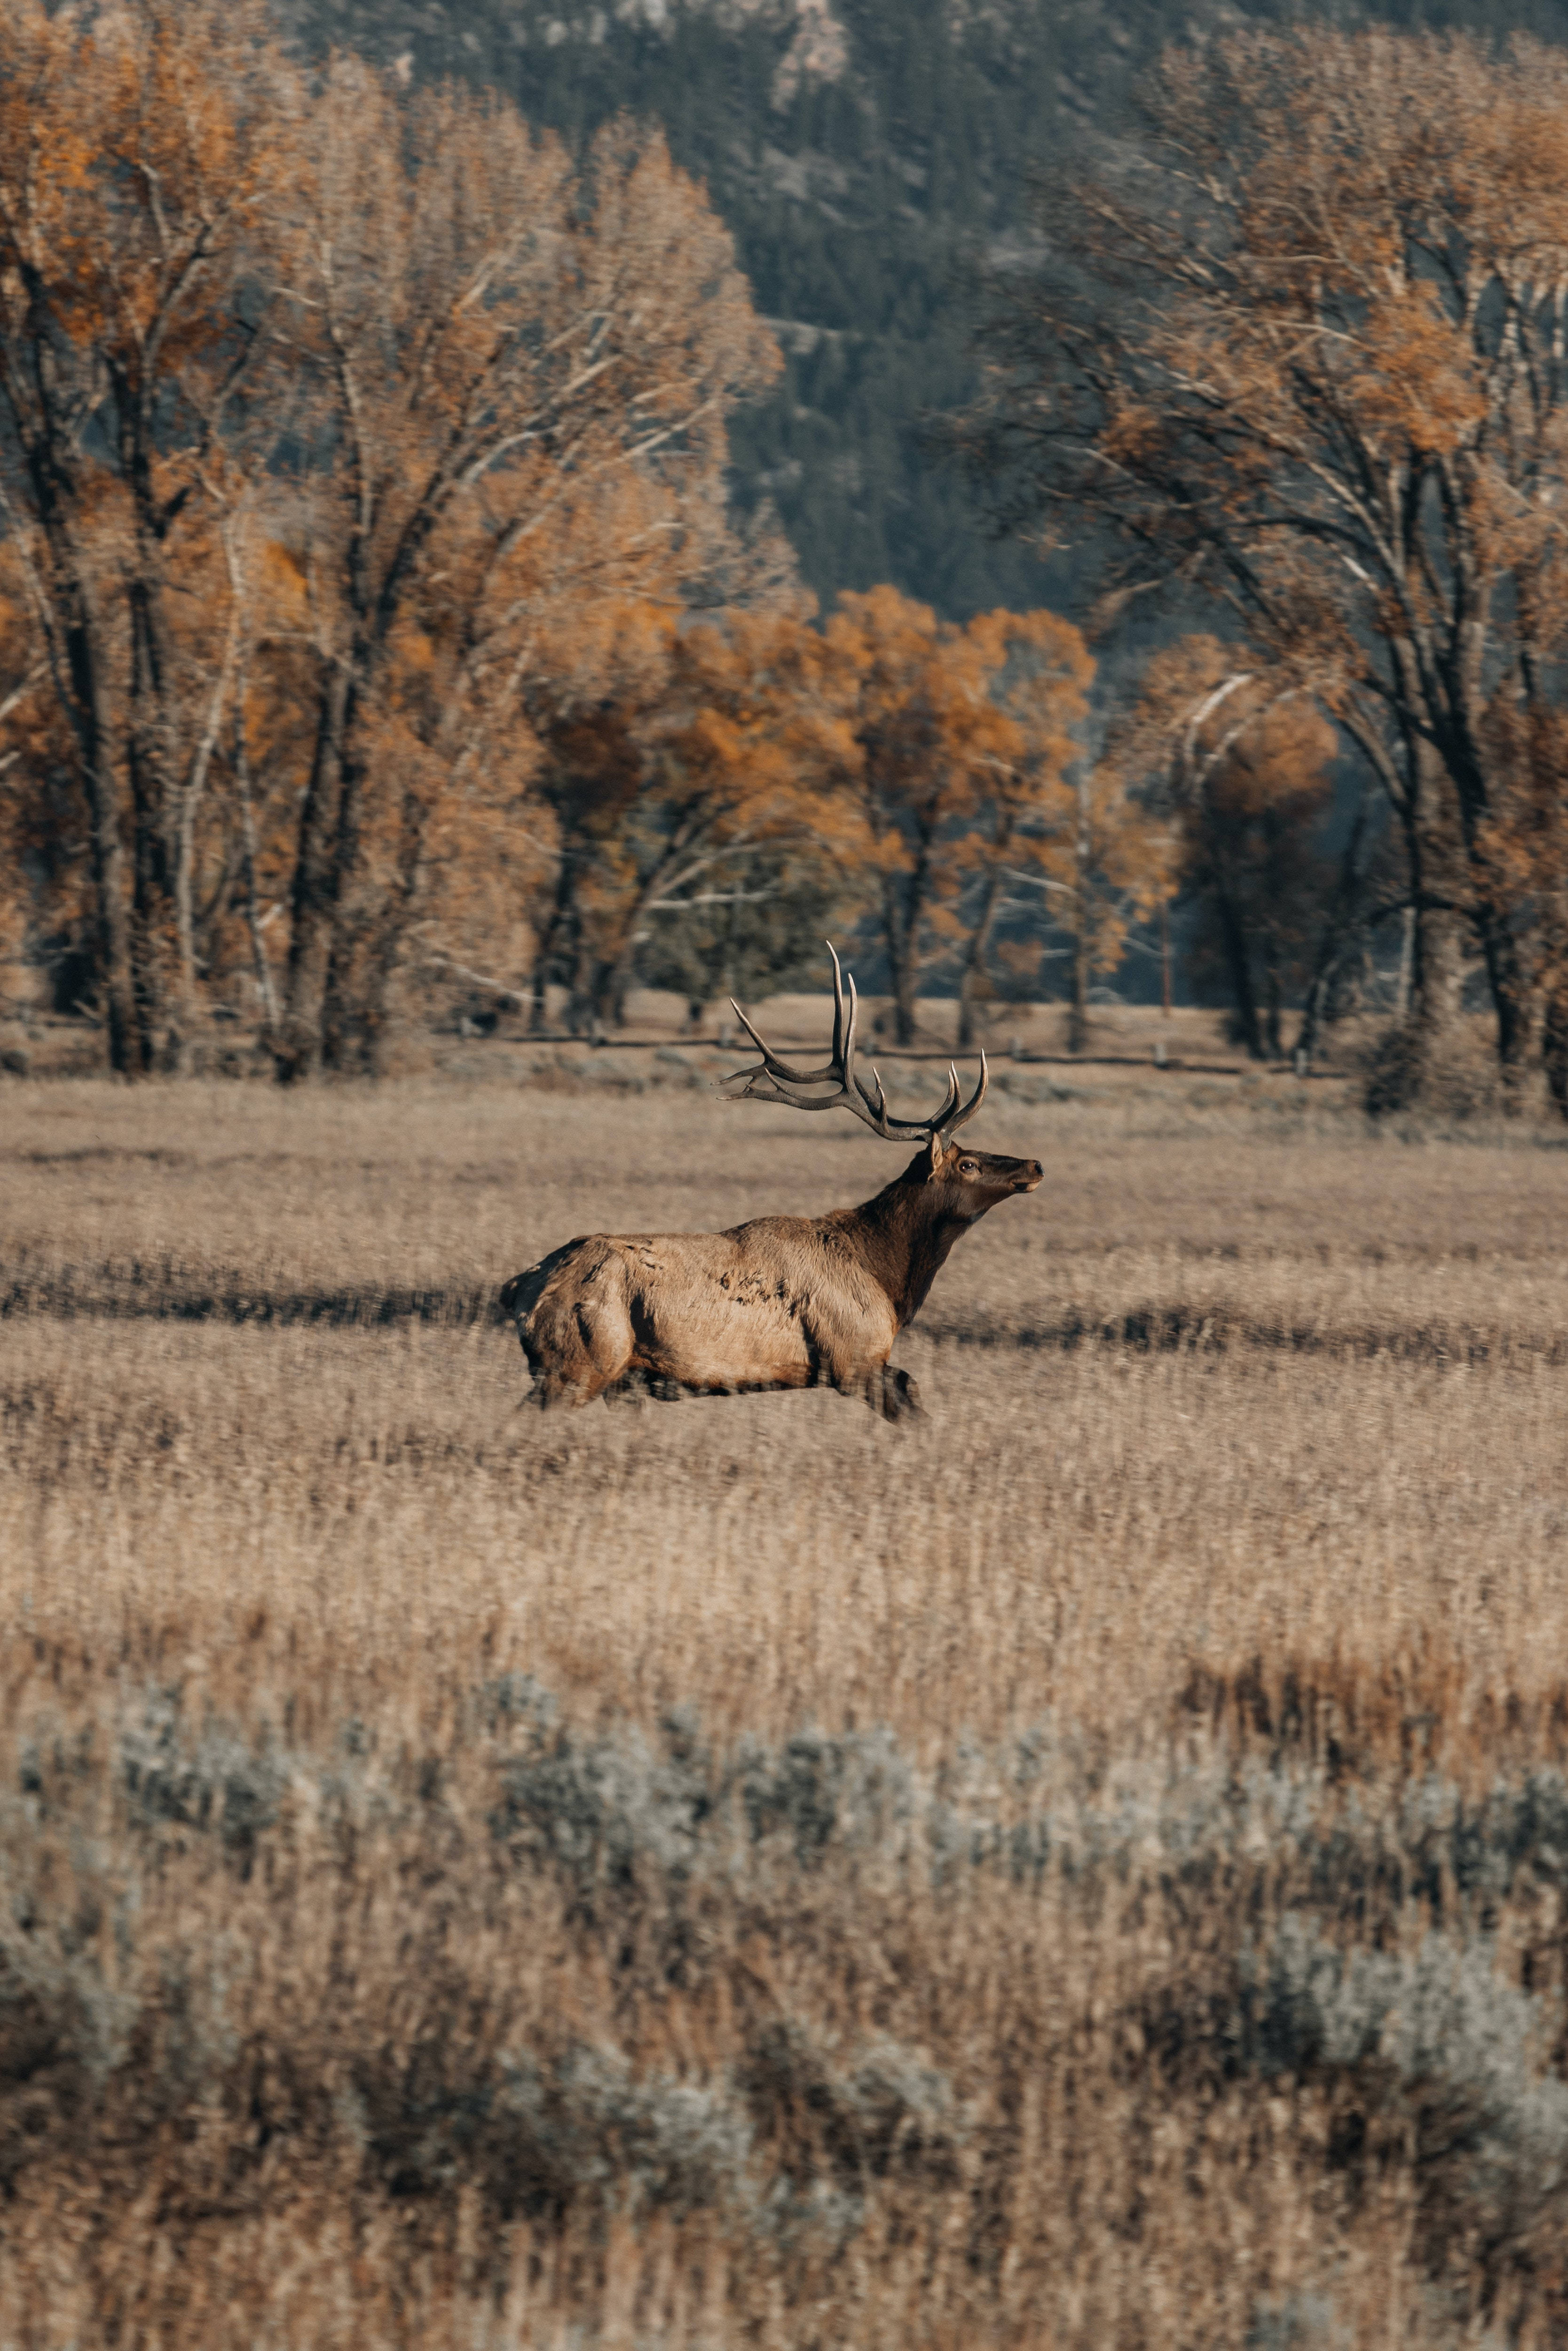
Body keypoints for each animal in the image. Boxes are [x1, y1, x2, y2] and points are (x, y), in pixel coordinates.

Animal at [503, 936, 1044, 1411]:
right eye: (967, 1164)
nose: (1034, 1164)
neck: (887, 1279)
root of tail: (520, 1289)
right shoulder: (852, 1358)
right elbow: (911, 1400)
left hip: (611, 1374)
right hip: (580, 1360)